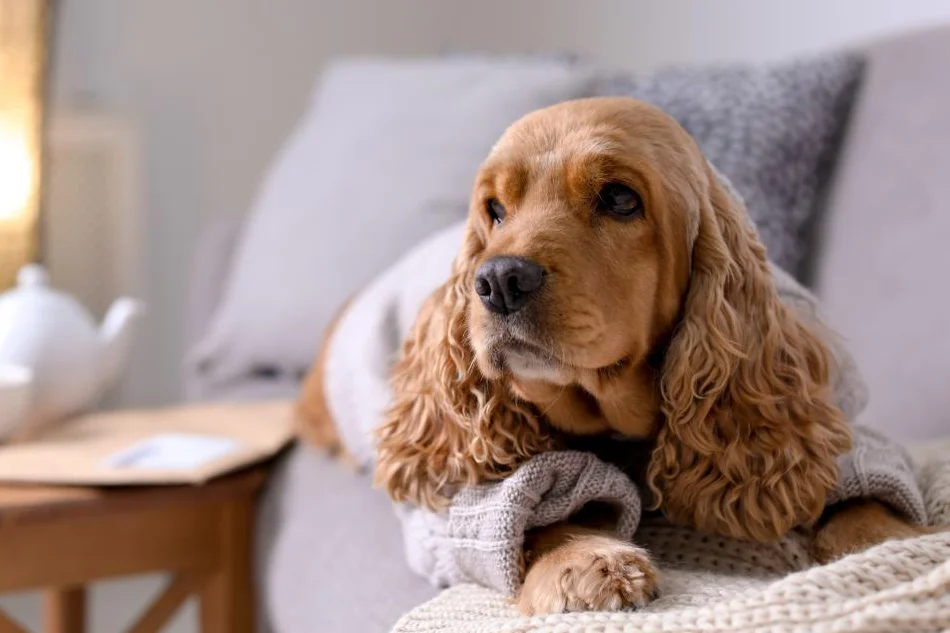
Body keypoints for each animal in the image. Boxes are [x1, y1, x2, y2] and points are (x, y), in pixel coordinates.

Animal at [300, 97, 936, 612]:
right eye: (494, 210)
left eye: (621, 198)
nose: (498, 279)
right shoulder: (467, 497)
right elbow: (529, 510)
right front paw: (583, 560)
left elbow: (853, 492)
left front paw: (896, 544)